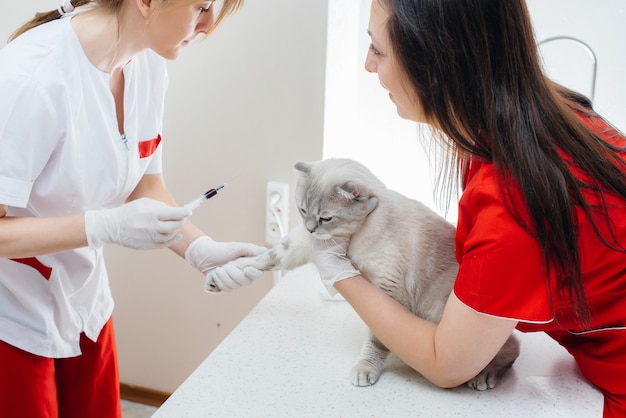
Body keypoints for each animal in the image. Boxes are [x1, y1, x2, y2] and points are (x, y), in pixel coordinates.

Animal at [217, 158, 520, 390]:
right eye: (302, 210)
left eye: (326, 217)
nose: (311, 229)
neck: (351, 238)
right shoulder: (306, 246)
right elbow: (262, 259)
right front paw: (221, 277)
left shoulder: (388, 293)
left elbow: (375, 342)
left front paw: (365, 370)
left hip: (441, 317)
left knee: (512, 349)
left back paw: (484, 376)